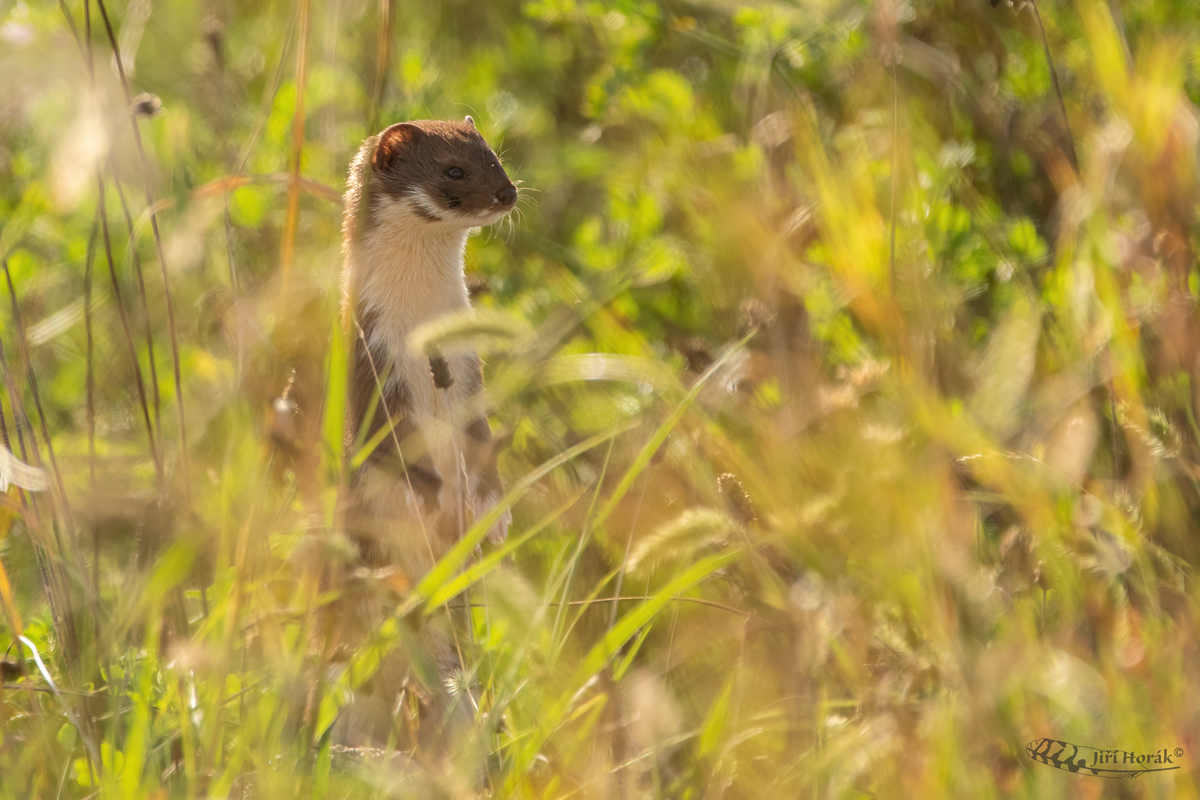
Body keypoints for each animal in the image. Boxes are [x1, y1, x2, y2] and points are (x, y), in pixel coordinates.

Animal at [328, 115, 516, 748]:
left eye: (493, 156)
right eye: (452, 170)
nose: (508, 193)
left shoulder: (471, 375)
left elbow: (482, 447)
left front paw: (489, 514)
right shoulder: (377, 375)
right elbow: (392, 453)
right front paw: (429, 504)